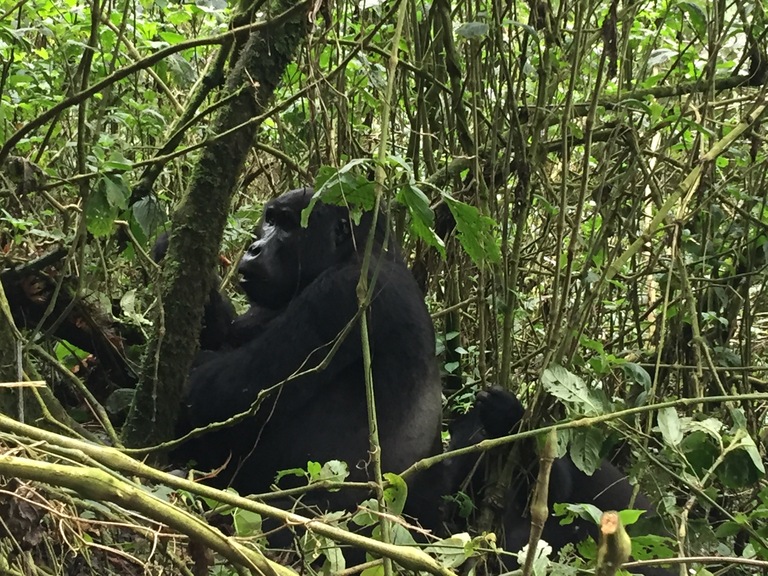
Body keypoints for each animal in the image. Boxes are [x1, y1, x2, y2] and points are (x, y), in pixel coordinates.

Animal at [172, 188, 440, 528]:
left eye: (287, 225)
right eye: (270, 219)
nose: (254, 248)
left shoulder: (343, 293)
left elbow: (221, 397)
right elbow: (227, 334)